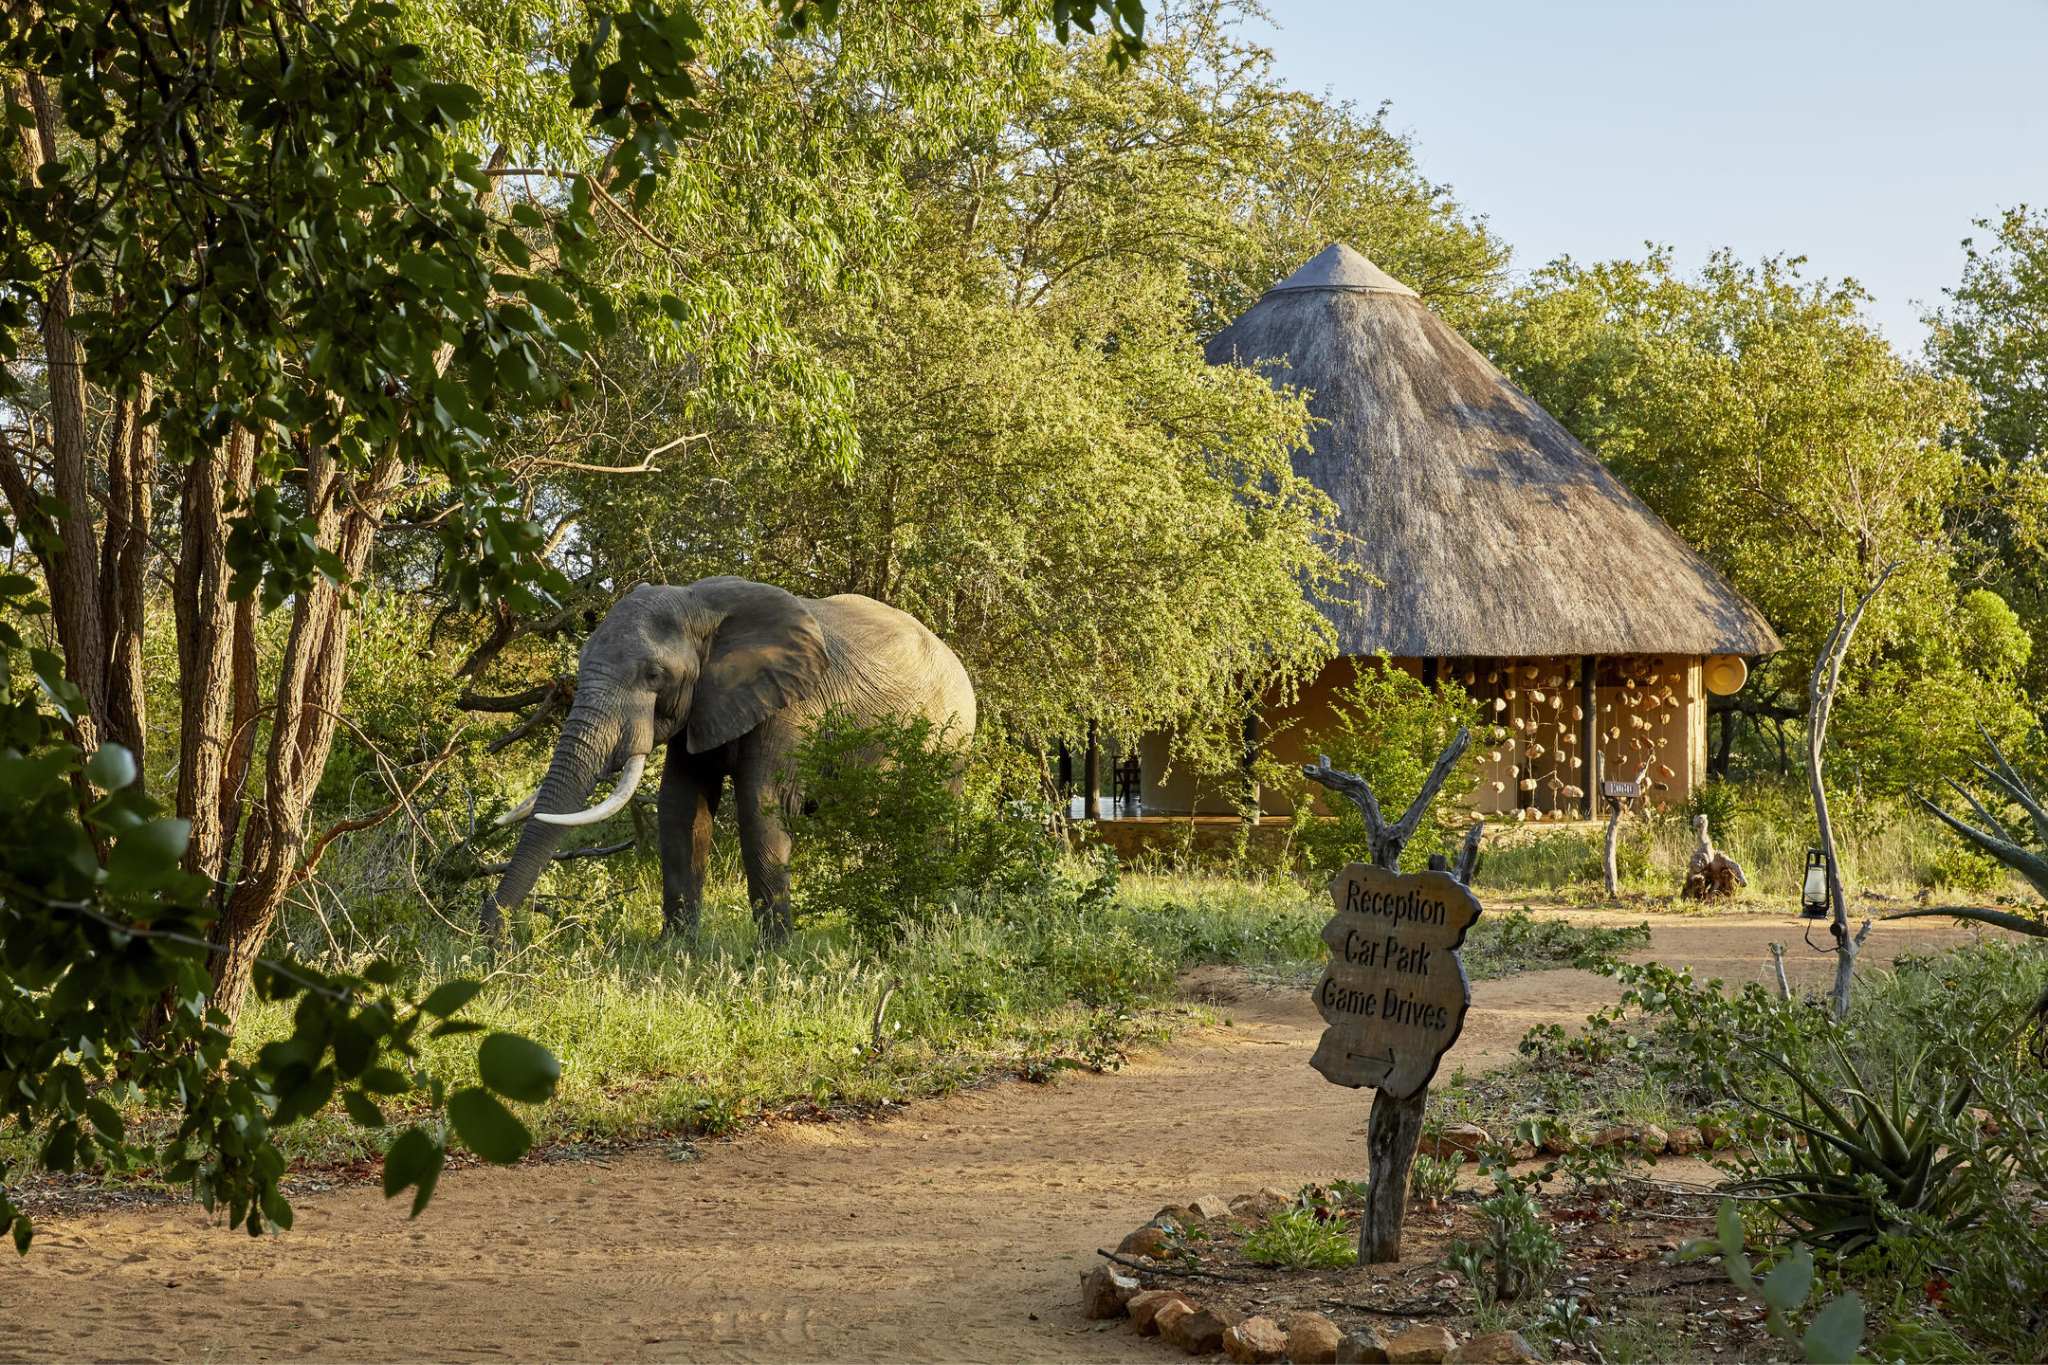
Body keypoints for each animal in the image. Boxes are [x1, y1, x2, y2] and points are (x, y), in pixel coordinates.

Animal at [485, 576, 976, 939]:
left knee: (929, 823)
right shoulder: (702, 704)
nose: (489, 942)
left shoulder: (792, 705)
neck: (699, 606)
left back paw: (920, 926)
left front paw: (775, 956)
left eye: (654, 675)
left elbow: (761, 806)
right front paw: (674, 952)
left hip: (950, 739)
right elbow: (681, 808)